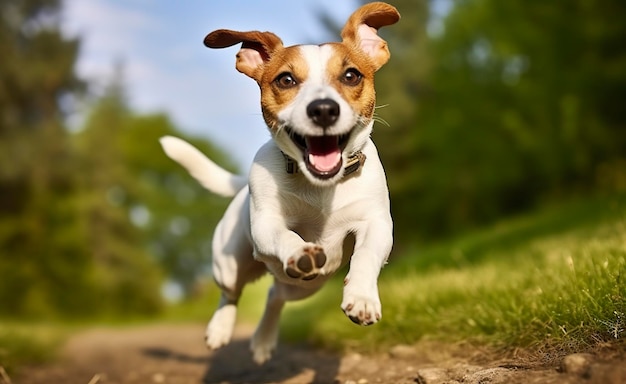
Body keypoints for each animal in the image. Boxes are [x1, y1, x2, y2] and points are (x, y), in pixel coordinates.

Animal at [158, 2, 398, 364]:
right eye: (286, 79)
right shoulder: (265, 225)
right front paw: (300, 250)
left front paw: (362, 296)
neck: (319, 186)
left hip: (309, 285)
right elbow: (286, 236)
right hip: (229, 263)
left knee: (275, 294)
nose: (323, 109)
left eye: (351, 75)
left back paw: (263, 340)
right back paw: (220, 329)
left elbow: (366, 255)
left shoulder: (376, 223)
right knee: (231, 293)